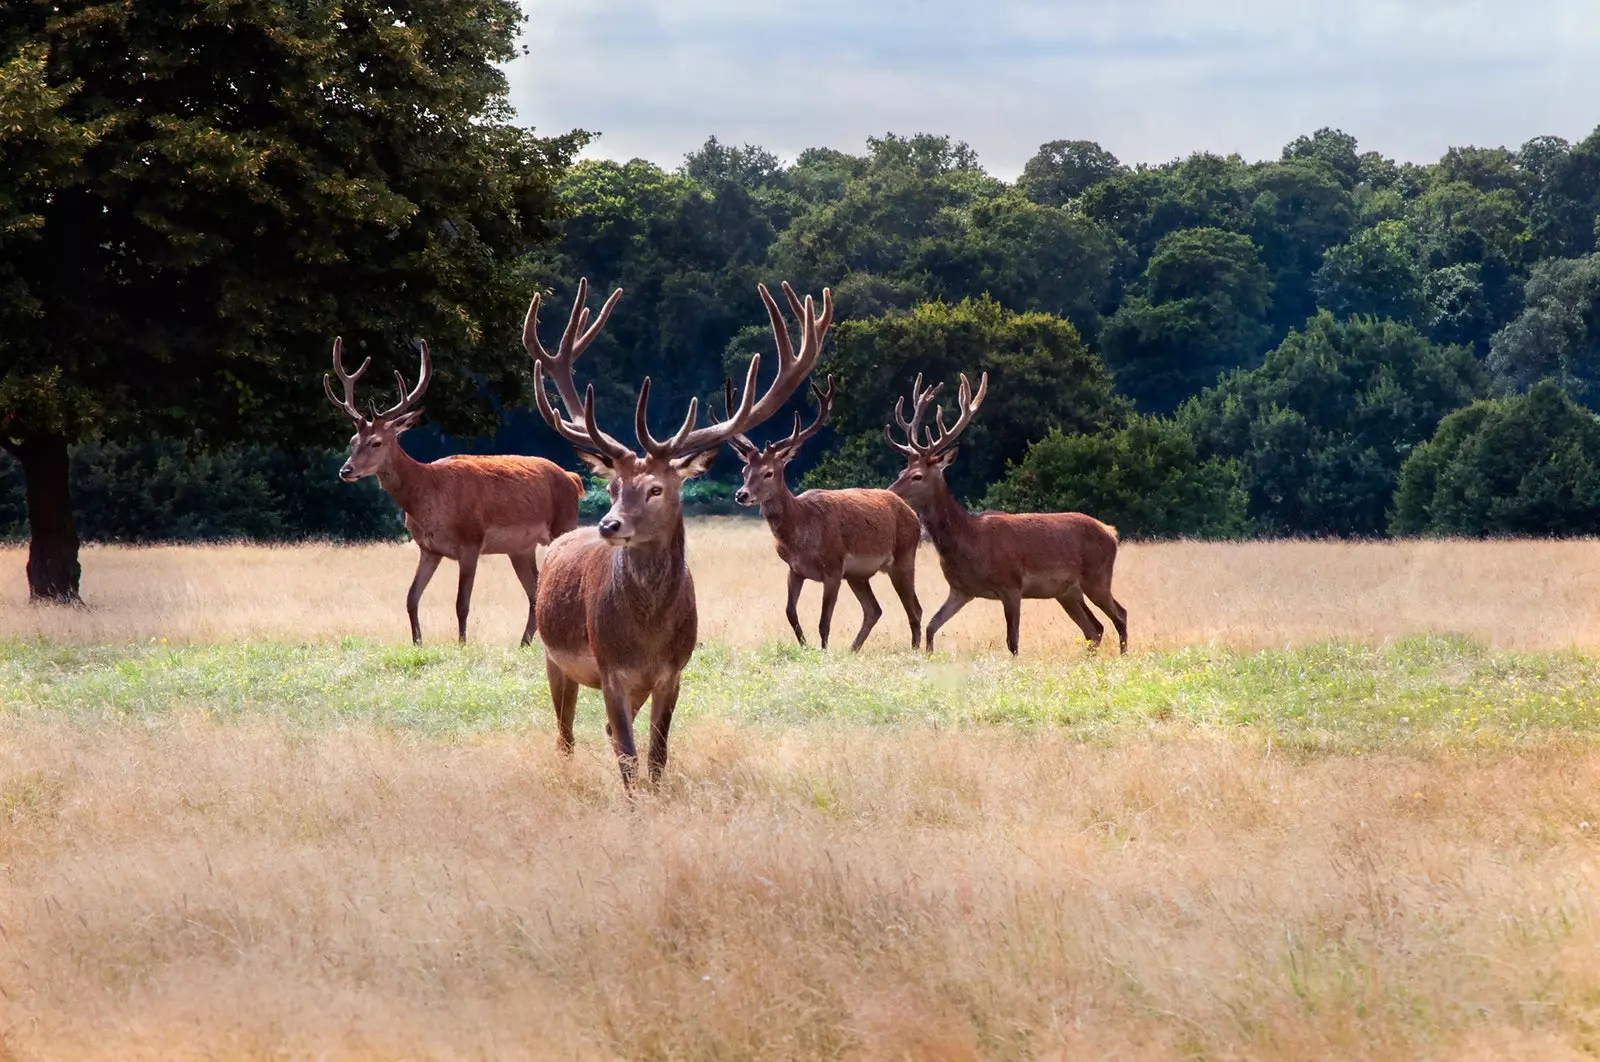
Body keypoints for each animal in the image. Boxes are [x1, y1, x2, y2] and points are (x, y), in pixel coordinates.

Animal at [321, 337, 585, 646]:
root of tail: (572, 478)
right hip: (520, 548)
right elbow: (411, 597)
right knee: (534, 593)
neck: (429, 496)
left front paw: (461, 644)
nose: (345, 470)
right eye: (352, 440)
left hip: (563, 524)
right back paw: (523, 643)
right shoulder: (428, 548)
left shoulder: (471, 541)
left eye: (376, 442)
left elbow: (462, 603)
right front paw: (417, 643)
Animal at [524, 278, 832, 793]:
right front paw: (634, 806)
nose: (609, 525)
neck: (647, 636)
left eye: (656, 488)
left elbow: (656, 756)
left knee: (600, 731)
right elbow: (629, 757)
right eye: (613, 487)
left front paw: (656, 795)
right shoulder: (610, 670)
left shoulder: (673, 672)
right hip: (553, 656)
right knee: (564, 733)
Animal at [729, 377, 921, 652]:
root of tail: (913, 514)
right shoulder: (795, 569)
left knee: (914, 608)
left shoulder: (833, 567)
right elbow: (790, 613)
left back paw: (919, 651)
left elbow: (824, 621)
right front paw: (804, 646)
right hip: (858, 575)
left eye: (768, 472)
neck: (801, 534)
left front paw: (823, 652)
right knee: (874, 610)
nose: (741, 494)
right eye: (744, 470)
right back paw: (853, 650)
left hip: (904, 557)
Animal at [883, 372, 1132, 655]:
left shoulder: (1012, 584)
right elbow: (931, 626)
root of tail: (1111, 532)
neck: (970, 541)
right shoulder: (961, 589)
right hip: (1066, 591)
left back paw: (1123, 656)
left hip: (1097, 576)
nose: (889, 493)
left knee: (1120, 614)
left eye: (917, 476)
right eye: (901, 472)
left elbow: (1012, 641)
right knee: (1094, 628)